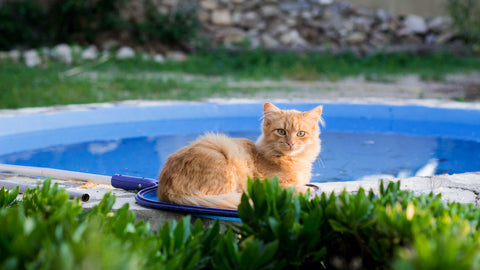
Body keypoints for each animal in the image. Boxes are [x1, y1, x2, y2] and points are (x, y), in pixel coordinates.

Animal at [157, 102, 322, 210]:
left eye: (301, 134)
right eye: (281, 131)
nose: (291, 143)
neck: (291, 160)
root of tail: (167, 191)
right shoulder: (272, 185)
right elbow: (293, 187)